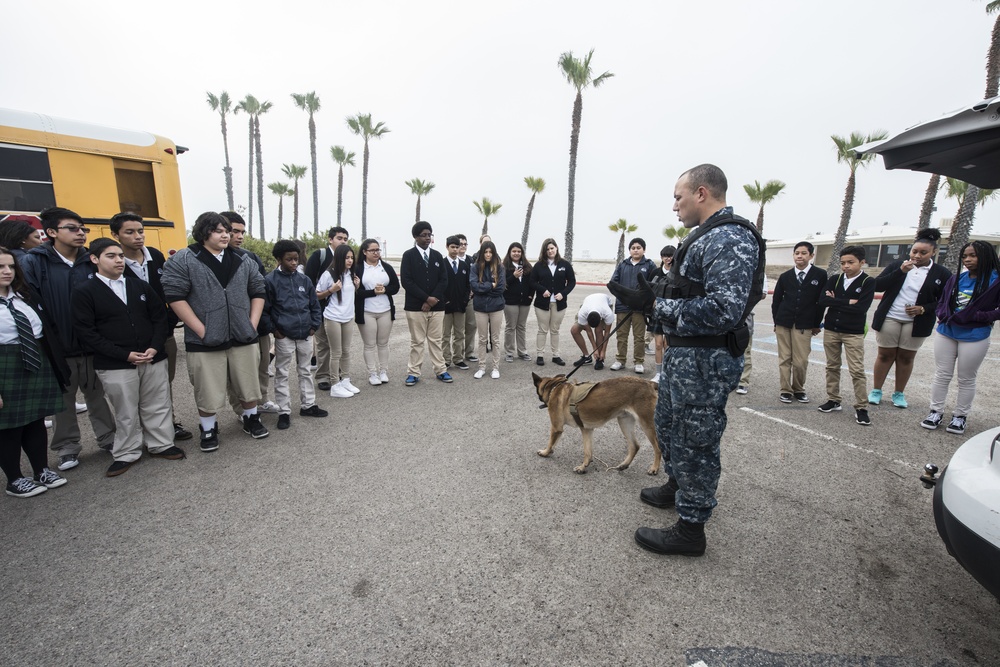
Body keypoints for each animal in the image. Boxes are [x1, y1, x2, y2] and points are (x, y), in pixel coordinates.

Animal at [532, 376, 664, 474]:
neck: (554, 387)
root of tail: (649, 383)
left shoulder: (556, 428)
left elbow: (550, 443)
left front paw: (545, 452)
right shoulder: (586, 430)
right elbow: (588, 452)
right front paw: (583, 467)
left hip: (646, 423)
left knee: (658, 448)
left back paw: (654, 468)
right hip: (624, 422)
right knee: (635, 446)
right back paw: (624, 465)